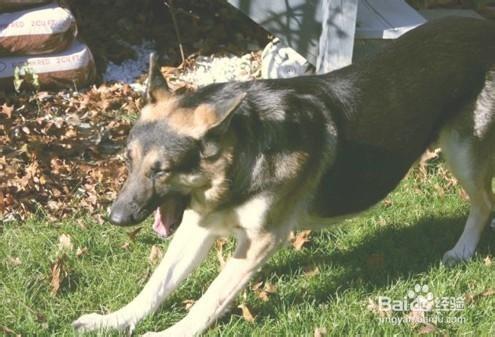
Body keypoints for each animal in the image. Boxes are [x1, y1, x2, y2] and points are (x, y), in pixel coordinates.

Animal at [73, 17, 495, 336]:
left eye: (161, 170)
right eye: (128, 161)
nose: (115, 218)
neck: (242, 157)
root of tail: (482, 25)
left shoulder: (259, 243)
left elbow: (209, 299)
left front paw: (171, 333)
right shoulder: (197, 228)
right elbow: (156, 285)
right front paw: (115, 319)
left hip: (462, 155)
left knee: (484, 203)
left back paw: (462, 249)